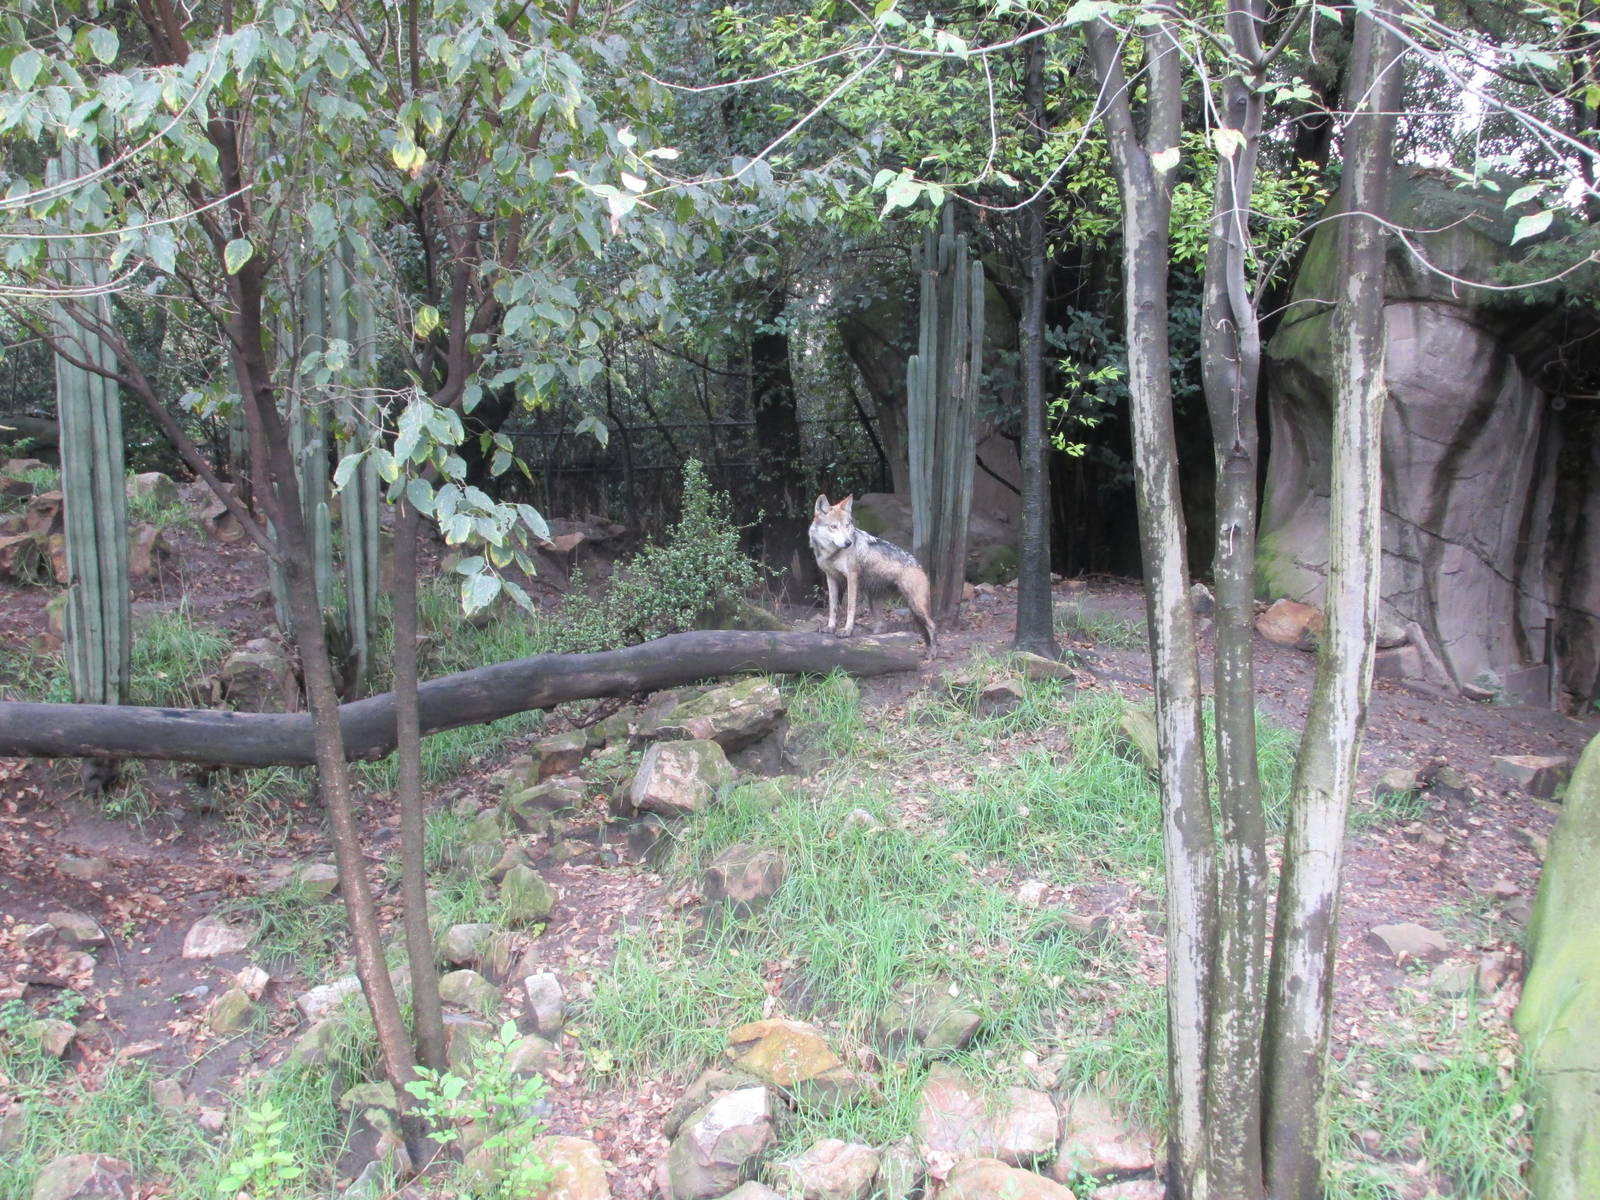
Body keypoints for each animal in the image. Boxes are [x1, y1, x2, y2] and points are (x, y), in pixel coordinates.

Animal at [808, 493, 937, 655]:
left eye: (847, 525)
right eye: (833, 526)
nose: (848, 543)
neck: (831, 554)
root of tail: (919, 565)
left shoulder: (852, 577)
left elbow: (850, 607)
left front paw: (846, 631)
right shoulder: (830, 577)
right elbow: (833, 607)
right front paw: (830, 627)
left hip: (916, 606)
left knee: (932, 625)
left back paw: (932, 654)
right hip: (883, 602)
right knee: (884, 627)